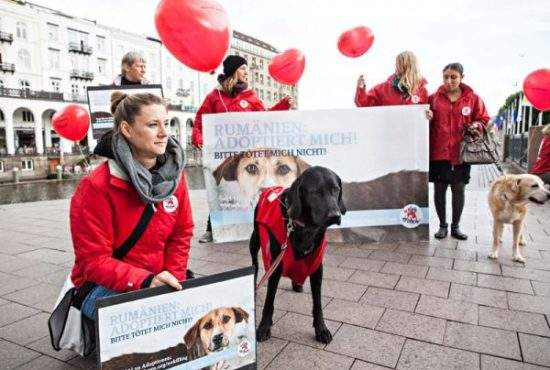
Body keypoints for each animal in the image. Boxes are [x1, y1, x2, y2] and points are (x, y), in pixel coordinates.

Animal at [251, 166, 348, 342]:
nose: (335, 215)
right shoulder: (276, 265)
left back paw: (296, 283)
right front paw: (264, 327)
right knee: (254, 264)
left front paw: (321, 328)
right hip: (254, 239)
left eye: (336, 189)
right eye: (315, 191)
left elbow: (318, 303)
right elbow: (269, 301)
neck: (306, 227)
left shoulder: (317, 266)